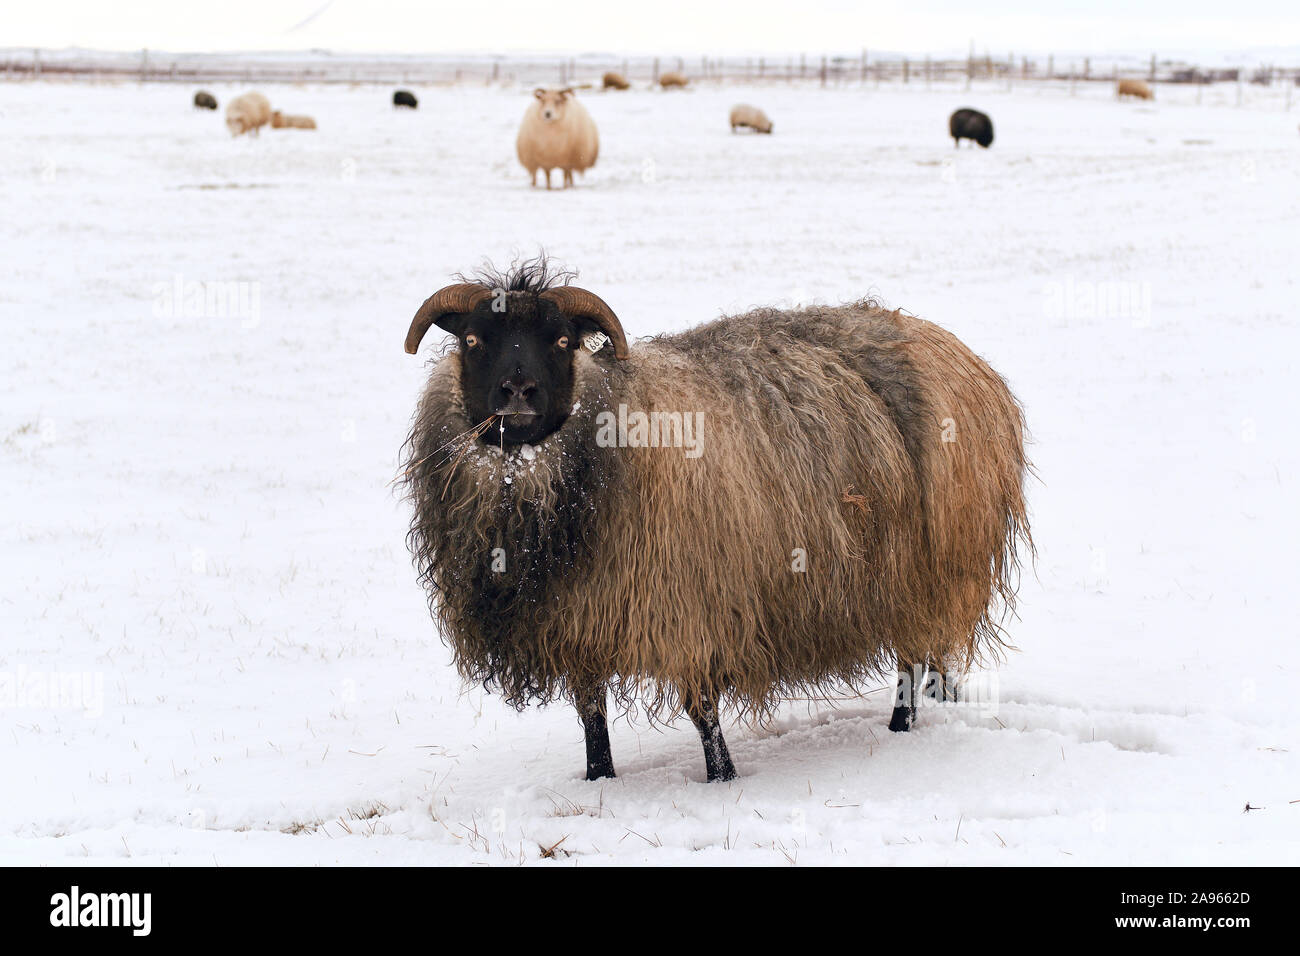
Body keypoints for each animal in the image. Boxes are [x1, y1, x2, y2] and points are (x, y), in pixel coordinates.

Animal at [400, 256, 1029, 785]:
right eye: (473, 339)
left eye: (560, 339)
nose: (518, 391)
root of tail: (955, 348)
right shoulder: (577, 619)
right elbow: (590, 712)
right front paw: (600, 781)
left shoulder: (694, 605)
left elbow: (702, 709)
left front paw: (722, 779)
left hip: (932, 565)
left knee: (910, 656)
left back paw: (900, 727)